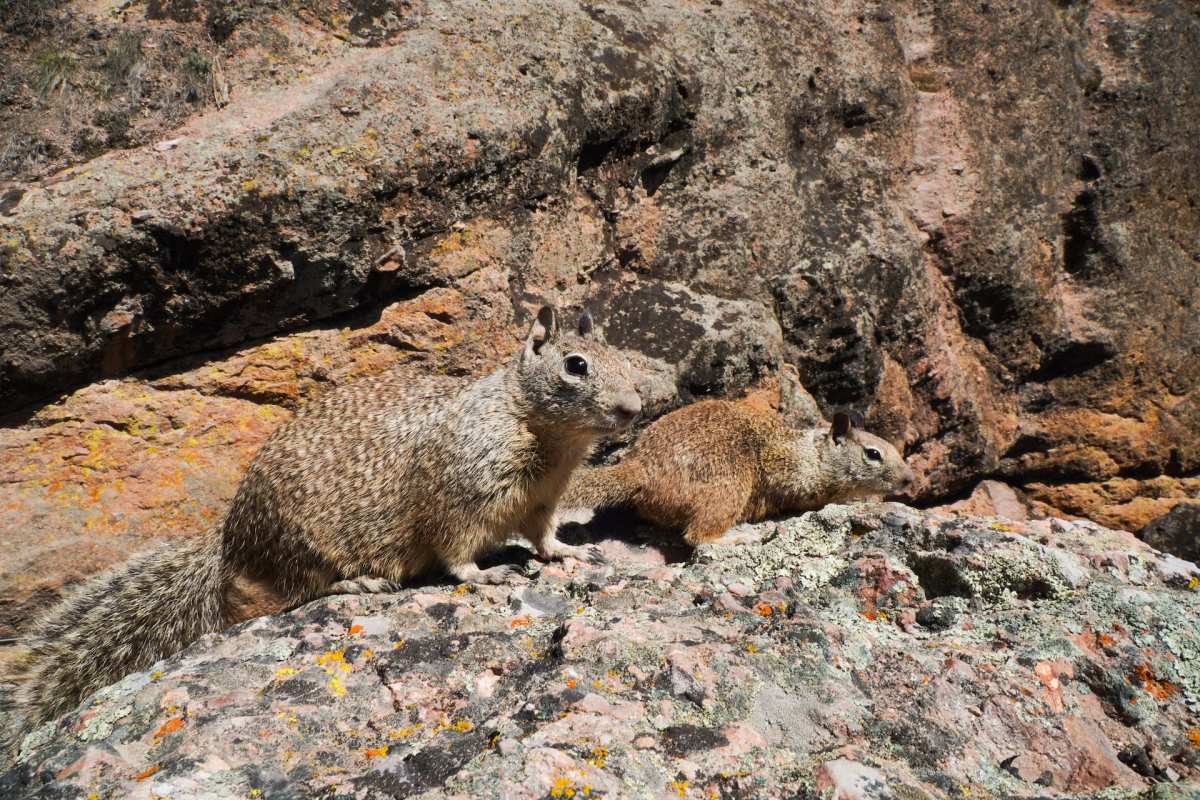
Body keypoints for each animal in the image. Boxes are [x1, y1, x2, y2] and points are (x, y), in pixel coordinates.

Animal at [559, 393, 907, 546]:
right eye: (873, 454)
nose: (909, 479)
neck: (813, 454)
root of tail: (640, 467)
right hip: (729, 487)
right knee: (698, 536)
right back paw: (736, 539)